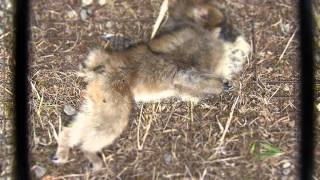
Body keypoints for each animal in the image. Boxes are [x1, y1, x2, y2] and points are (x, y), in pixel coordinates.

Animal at [52, 0, 250, 172]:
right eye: (224, 25)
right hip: (114, 94)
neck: (200, 30)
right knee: (110, 123)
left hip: (99, 95)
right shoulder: (190, 68)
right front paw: (223, 85)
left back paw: (64, 147)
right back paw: (91, 154)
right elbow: (189, 78)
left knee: (83, 122)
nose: (233, 31)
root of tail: (104, 66)